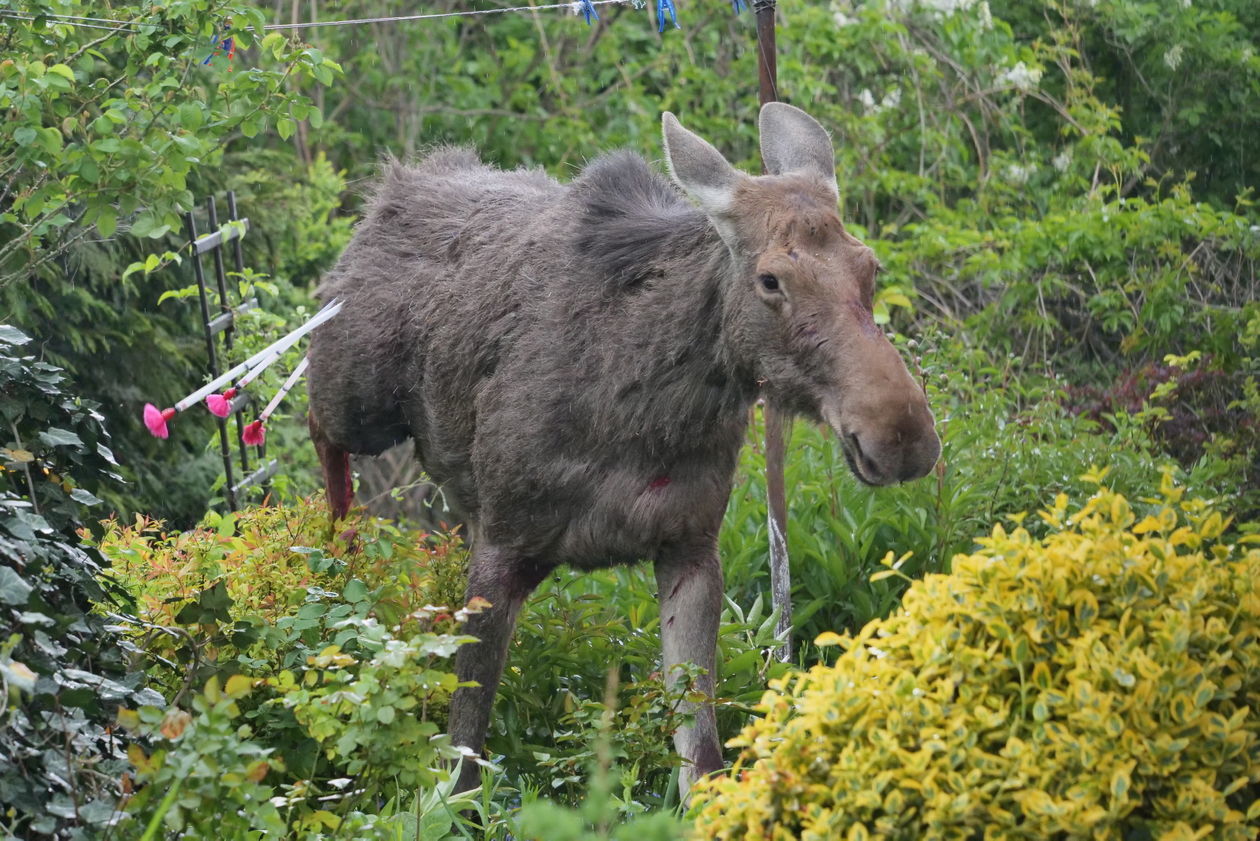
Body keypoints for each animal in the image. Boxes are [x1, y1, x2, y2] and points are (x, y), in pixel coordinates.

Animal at [304, 105, 937, 796]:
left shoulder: (689, 548)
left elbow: (700, 753)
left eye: (869, 267)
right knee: (315, 427)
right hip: (356, 398)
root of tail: (397, 183)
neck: (650, 411)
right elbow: (464, 753)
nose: (902, 435)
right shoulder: (505, 546)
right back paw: (339, 563)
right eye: (771, 279)